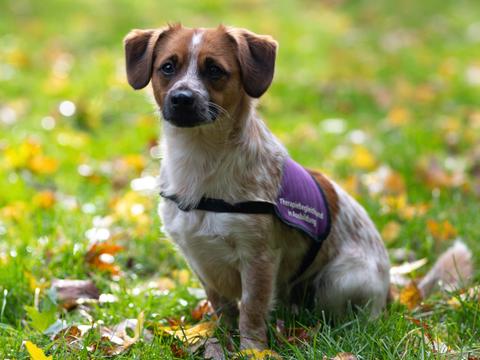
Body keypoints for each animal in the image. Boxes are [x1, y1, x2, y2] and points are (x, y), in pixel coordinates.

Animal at [124, 23, 472, 350]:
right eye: (168, 67)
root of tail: (391, 292)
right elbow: (223, 306)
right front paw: (220, 340)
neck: (200, 162)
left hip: (338, 280)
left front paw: (252, 349)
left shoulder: (258, 258)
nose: (182, 98)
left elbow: (251, 309)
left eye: (214, 70)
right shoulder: (200, 259)